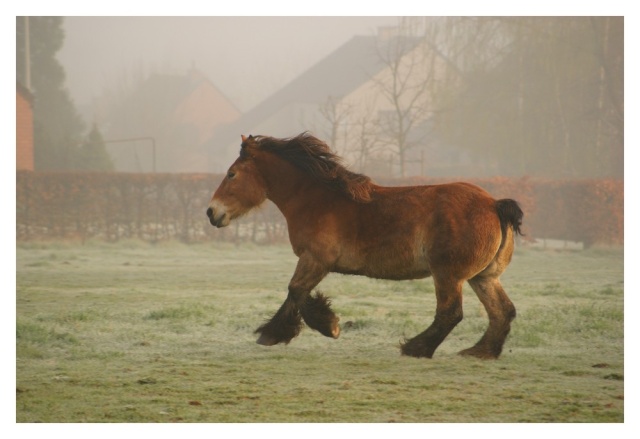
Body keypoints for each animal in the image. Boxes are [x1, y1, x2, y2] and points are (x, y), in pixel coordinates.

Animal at [208, 132, 524, 360]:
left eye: (232, 174)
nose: (212, 212)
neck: (317, 200)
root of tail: (494, 204)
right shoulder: (314, 262)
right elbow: (297, 293)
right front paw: (279, 332)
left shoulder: (315, 260)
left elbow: (296, 290)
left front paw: (325, 328)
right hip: (483, 277)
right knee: (502, 311)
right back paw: (480, 352)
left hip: (448, 275)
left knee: (451, 313)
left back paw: (416, 348)